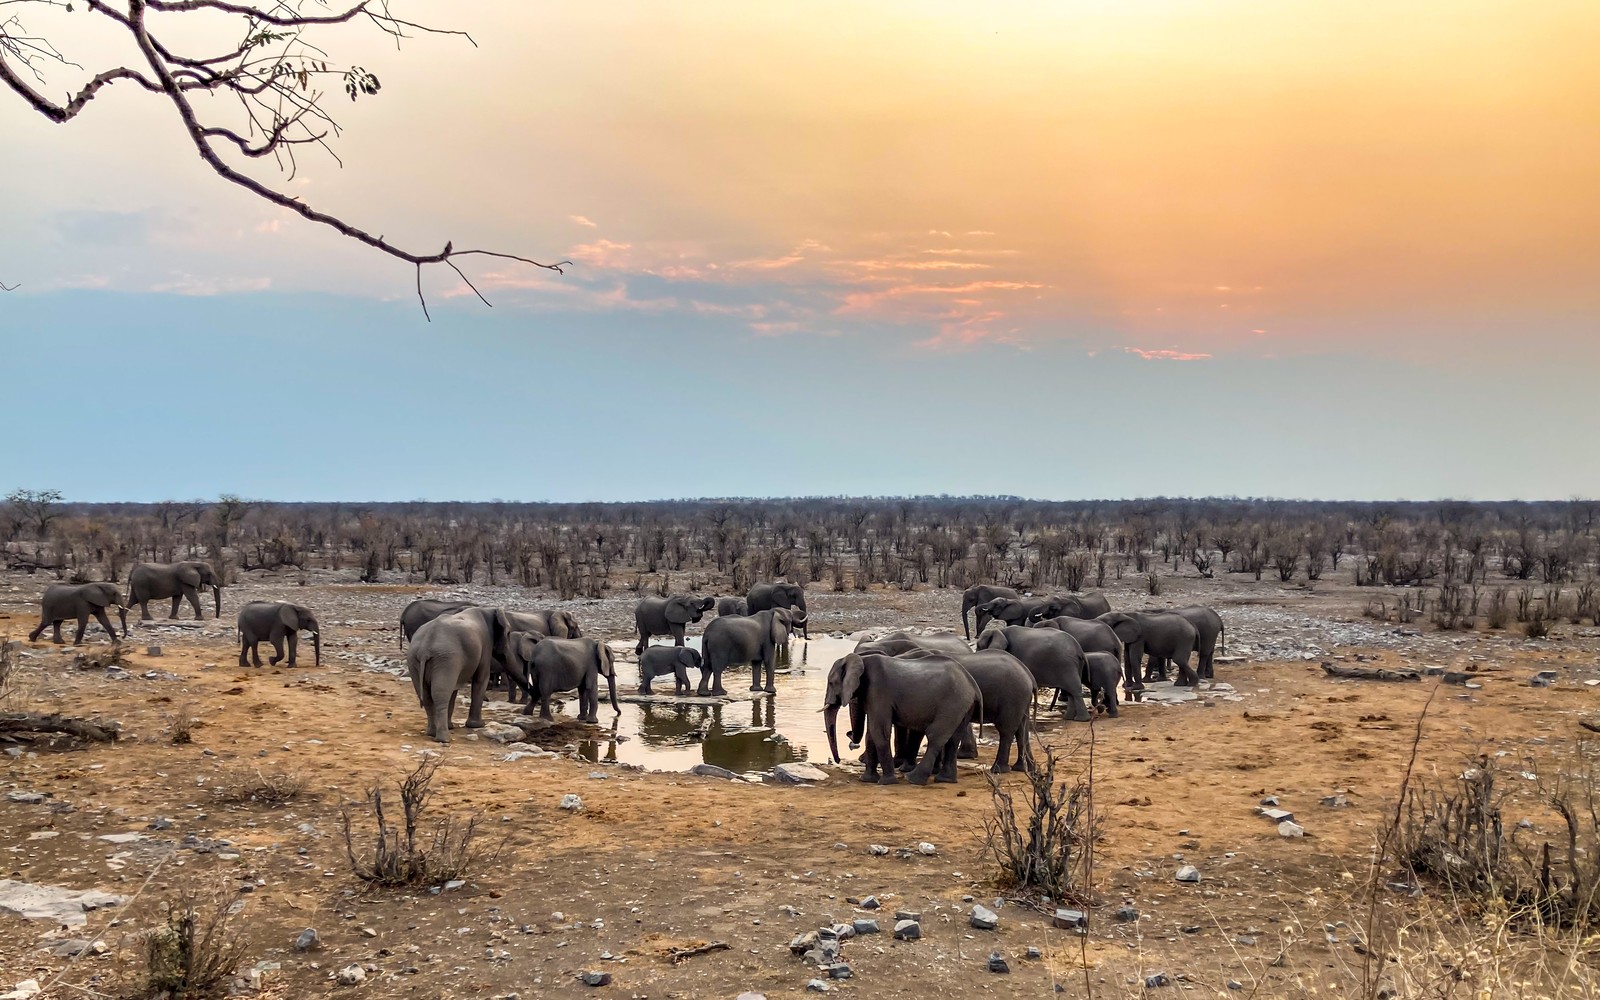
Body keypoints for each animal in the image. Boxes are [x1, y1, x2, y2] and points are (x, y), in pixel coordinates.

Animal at [406, 604, 512, 736]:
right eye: (509, 633)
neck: (488, 609)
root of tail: (424, 649)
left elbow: (454, 688)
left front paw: (451, 726)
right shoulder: (485, 644)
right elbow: (481, 678)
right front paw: (478, 725)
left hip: (415, 660)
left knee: (426, 695)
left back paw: (432, 733)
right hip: (445, 658)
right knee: (440, 693)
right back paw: (443, 737)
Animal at [825, 652, 972, 784]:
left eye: (831, 683)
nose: (837, 760)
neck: (862, 660)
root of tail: (970, 681)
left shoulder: (878, 691)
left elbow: (879, 731)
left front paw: (887, 782)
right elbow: (871, 734)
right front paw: (867, 780)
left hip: (952, 703)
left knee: (936, 736)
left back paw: (913, 779)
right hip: (962, 706)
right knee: (953, 739)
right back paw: (945, 780)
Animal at [966, 624, 1094, 716]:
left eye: (979, 646)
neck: (1000, 630)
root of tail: (1079, 649)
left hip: (1067, 665)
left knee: (1074, 689)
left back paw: (1081, 719)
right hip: (1074, 665)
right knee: (1071, 691)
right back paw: (1070, 718)